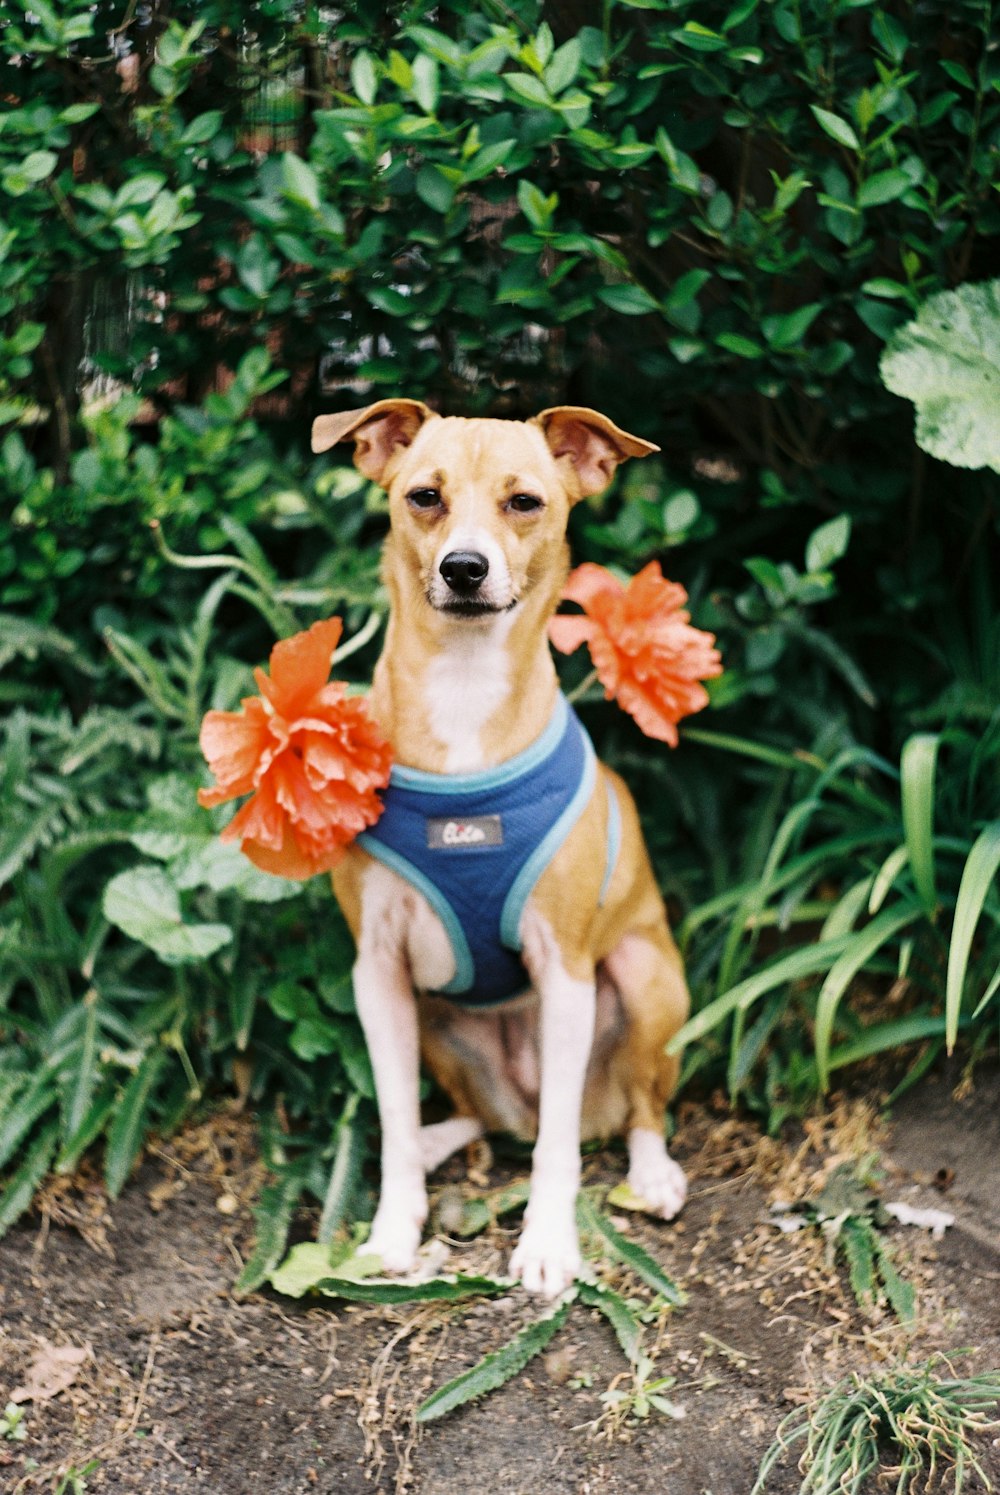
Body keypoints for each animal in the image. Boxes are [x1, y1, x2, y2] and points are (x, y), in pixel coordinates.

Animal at [309, 400, 687, 1297]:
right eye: (424, 496)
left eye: (524, 502)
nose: (465, 568)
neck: (464, 688)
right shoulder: (377, 971)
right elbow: (393, 1115)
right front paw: (393, 1227)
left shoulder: (567, 972)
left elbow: (555, 1152)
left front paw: (548, 1243)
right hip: (436, 1021)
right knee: (462, 1113)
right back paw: (442, 1139)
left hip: (646, 980)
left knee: (631, 1106)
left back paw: (649, 1168)